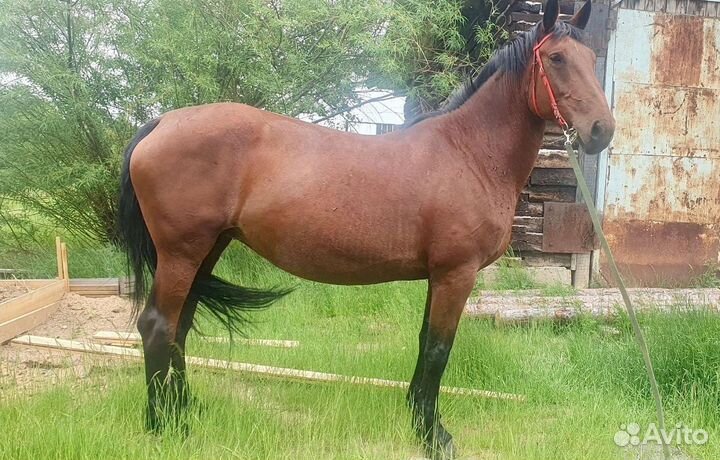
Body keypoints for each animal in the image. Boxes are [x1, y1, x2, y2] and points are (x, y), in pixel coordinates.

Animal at [117, 0, 613, 457]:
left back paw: (186, 409)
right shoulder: (456, 274)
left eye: (592, 59)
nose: (602, 131)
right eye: (557, 59)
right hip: (182, 253)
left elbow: (424, 344)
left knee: (180, 328)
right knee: (158, 327)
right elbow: (439, 349)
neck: (468, 152)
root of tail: (162, 123)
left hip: (207, 250)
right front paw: (434, 436)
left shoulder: (439, 276)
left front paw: (418, 421)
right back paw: (166, 426)